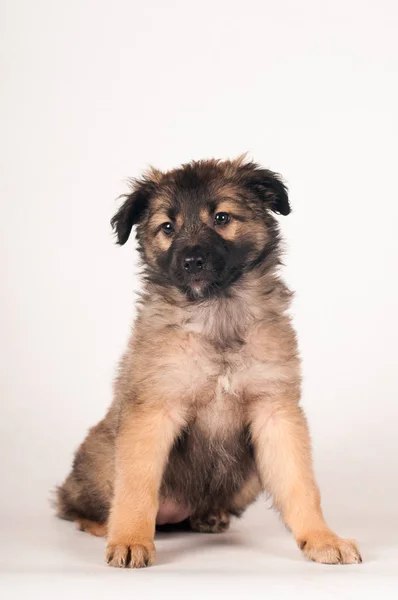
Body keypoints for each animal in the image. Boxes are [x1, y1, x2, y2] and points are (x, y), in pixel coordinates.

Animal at [56, 155, 364, 568]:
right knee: (75, 504)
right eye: (167, 227)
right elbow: (137, 486)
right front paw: (130, 540)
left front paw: (321, 538)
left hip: (249, 474)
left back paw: (209, 516)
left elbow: (301, 485)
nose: (192, 261)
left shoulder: (276, 412)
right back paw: (104, 526)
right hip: (101, 458)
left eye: (221, 218)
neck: (216, 312)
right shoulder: (153, 410)